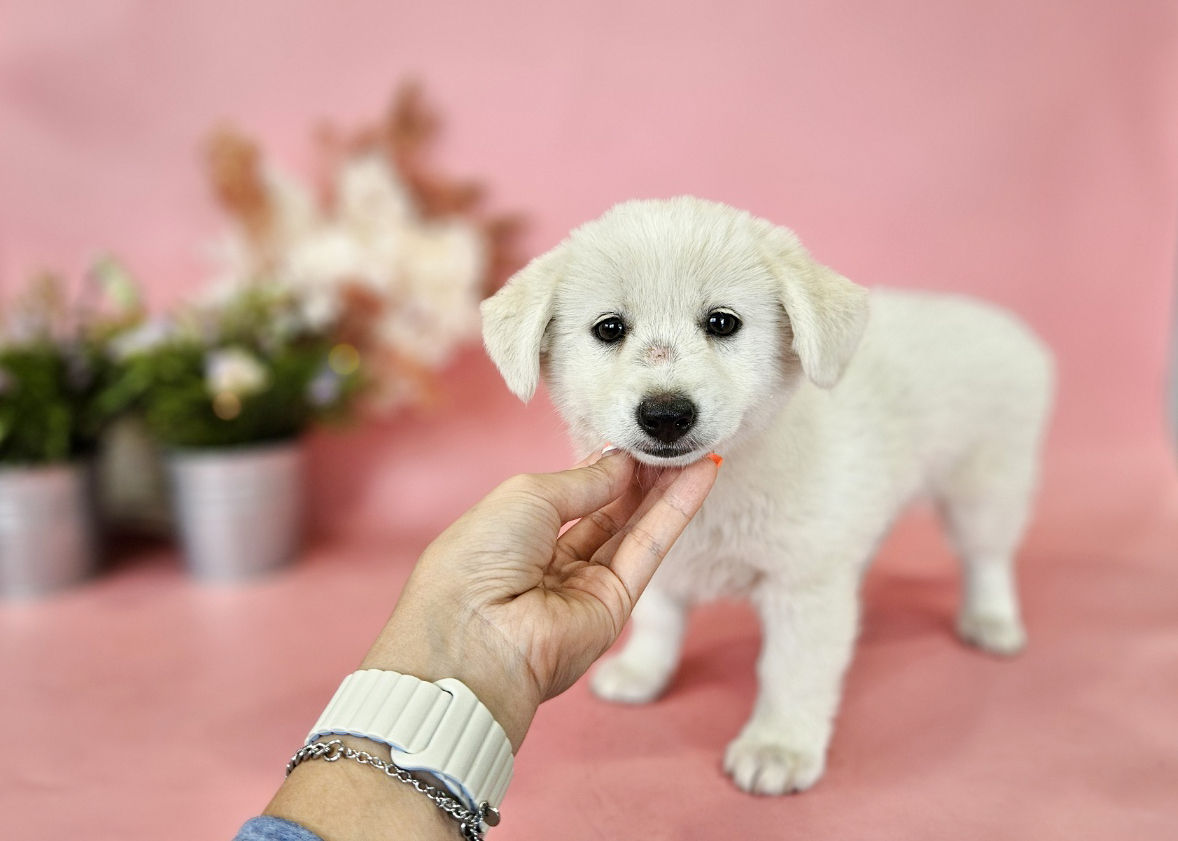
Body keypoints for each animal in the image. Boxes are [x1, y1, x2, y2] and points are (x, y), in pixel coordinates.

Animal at [482, 196, 1055, 791]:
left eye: (722, 322)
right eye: (609, 328)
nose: (665, 414)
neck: (730, 477)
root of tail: (1004, 325)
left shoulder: (804, 586)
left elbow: (793, 670)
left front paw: (778, 746)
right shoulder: (666, 562)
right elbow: (660, 621)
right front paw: (644, 671)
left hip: (987, 486)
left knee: (987, 558)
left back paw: (991, 619)